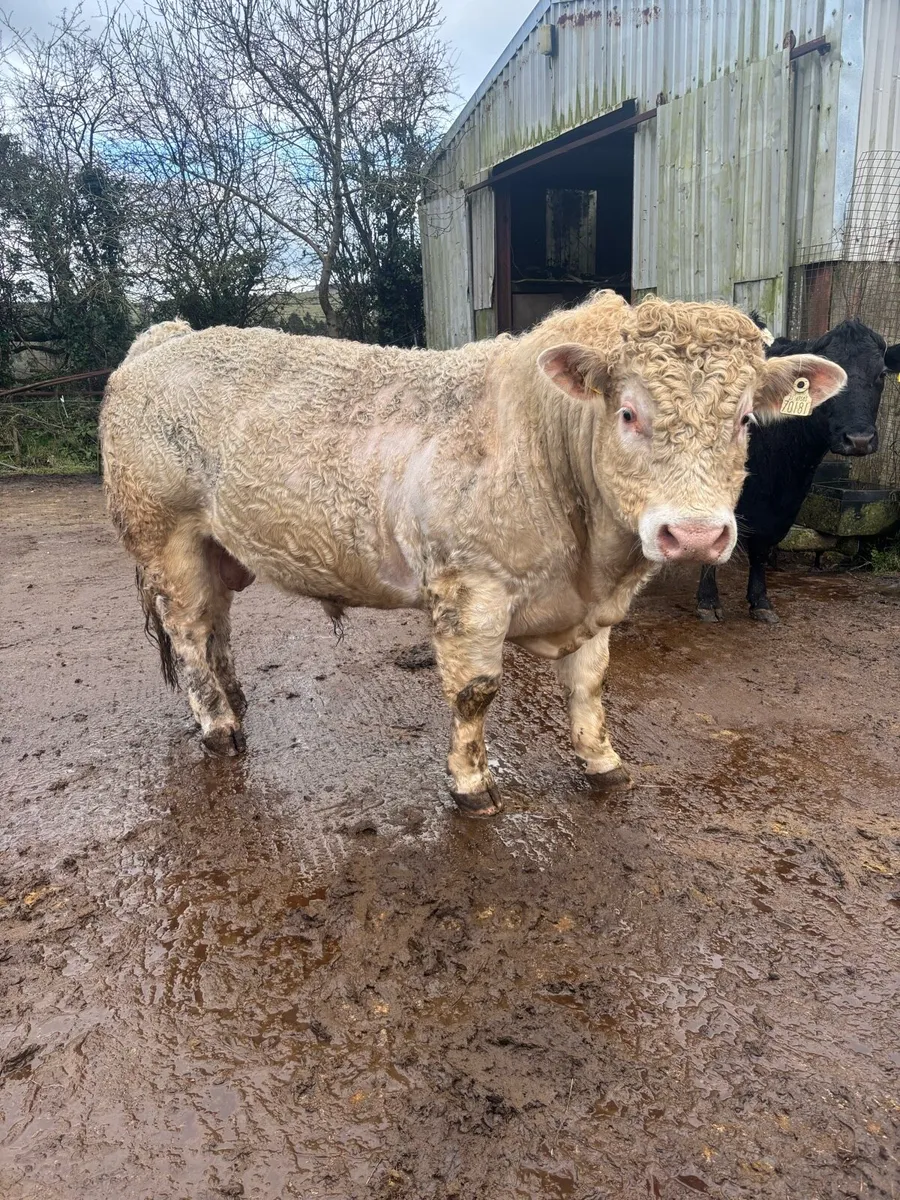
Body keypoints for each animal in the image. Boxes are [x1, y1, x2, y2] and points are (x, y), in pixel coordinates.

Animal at [100, 292, 846, 816]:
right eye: (628, 414)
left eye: (744, 420)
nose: (692, 534)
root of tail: (163, 341)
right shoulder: (471, 586)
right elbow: (475, 692)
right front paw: (471, 785)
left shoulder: (592, 607)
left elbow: (590, 685)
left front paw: (602, 763)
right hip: (164, 533)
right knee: (189, 629)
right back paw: (219, 725)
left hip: (212, 545)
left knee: (216, 624)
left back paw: (235, 699)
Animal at [696, 318, 900, 623]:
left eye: (882, 374)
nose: (859, 439)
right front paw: (708, 601)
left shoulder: (786, 502)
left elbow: (762, 546)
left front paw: (760, 601)